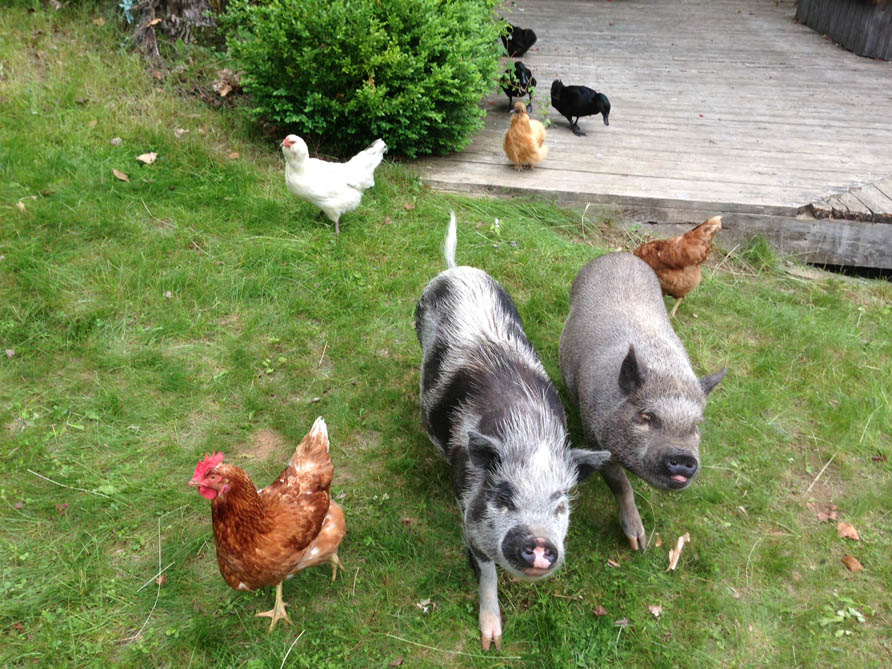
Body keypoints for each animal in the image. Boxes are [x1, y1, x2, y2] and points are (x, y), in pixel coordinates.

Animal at [415, 213, 610, 650]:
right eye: (503, 496)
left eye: (561, 502)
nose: (538, 543)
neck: (527, 431)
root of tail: (456, 271)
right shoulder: (469, 516)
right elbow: (486, 575)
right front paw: (491, 642)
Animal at [559, 252, 726, 551]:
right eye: (647, 417)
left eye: (696, 426)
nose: (683, 456)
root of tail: (620, 255)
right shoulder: (594, 432)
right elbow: (620, 482)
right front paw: (638, 544)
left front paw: (641, 545)